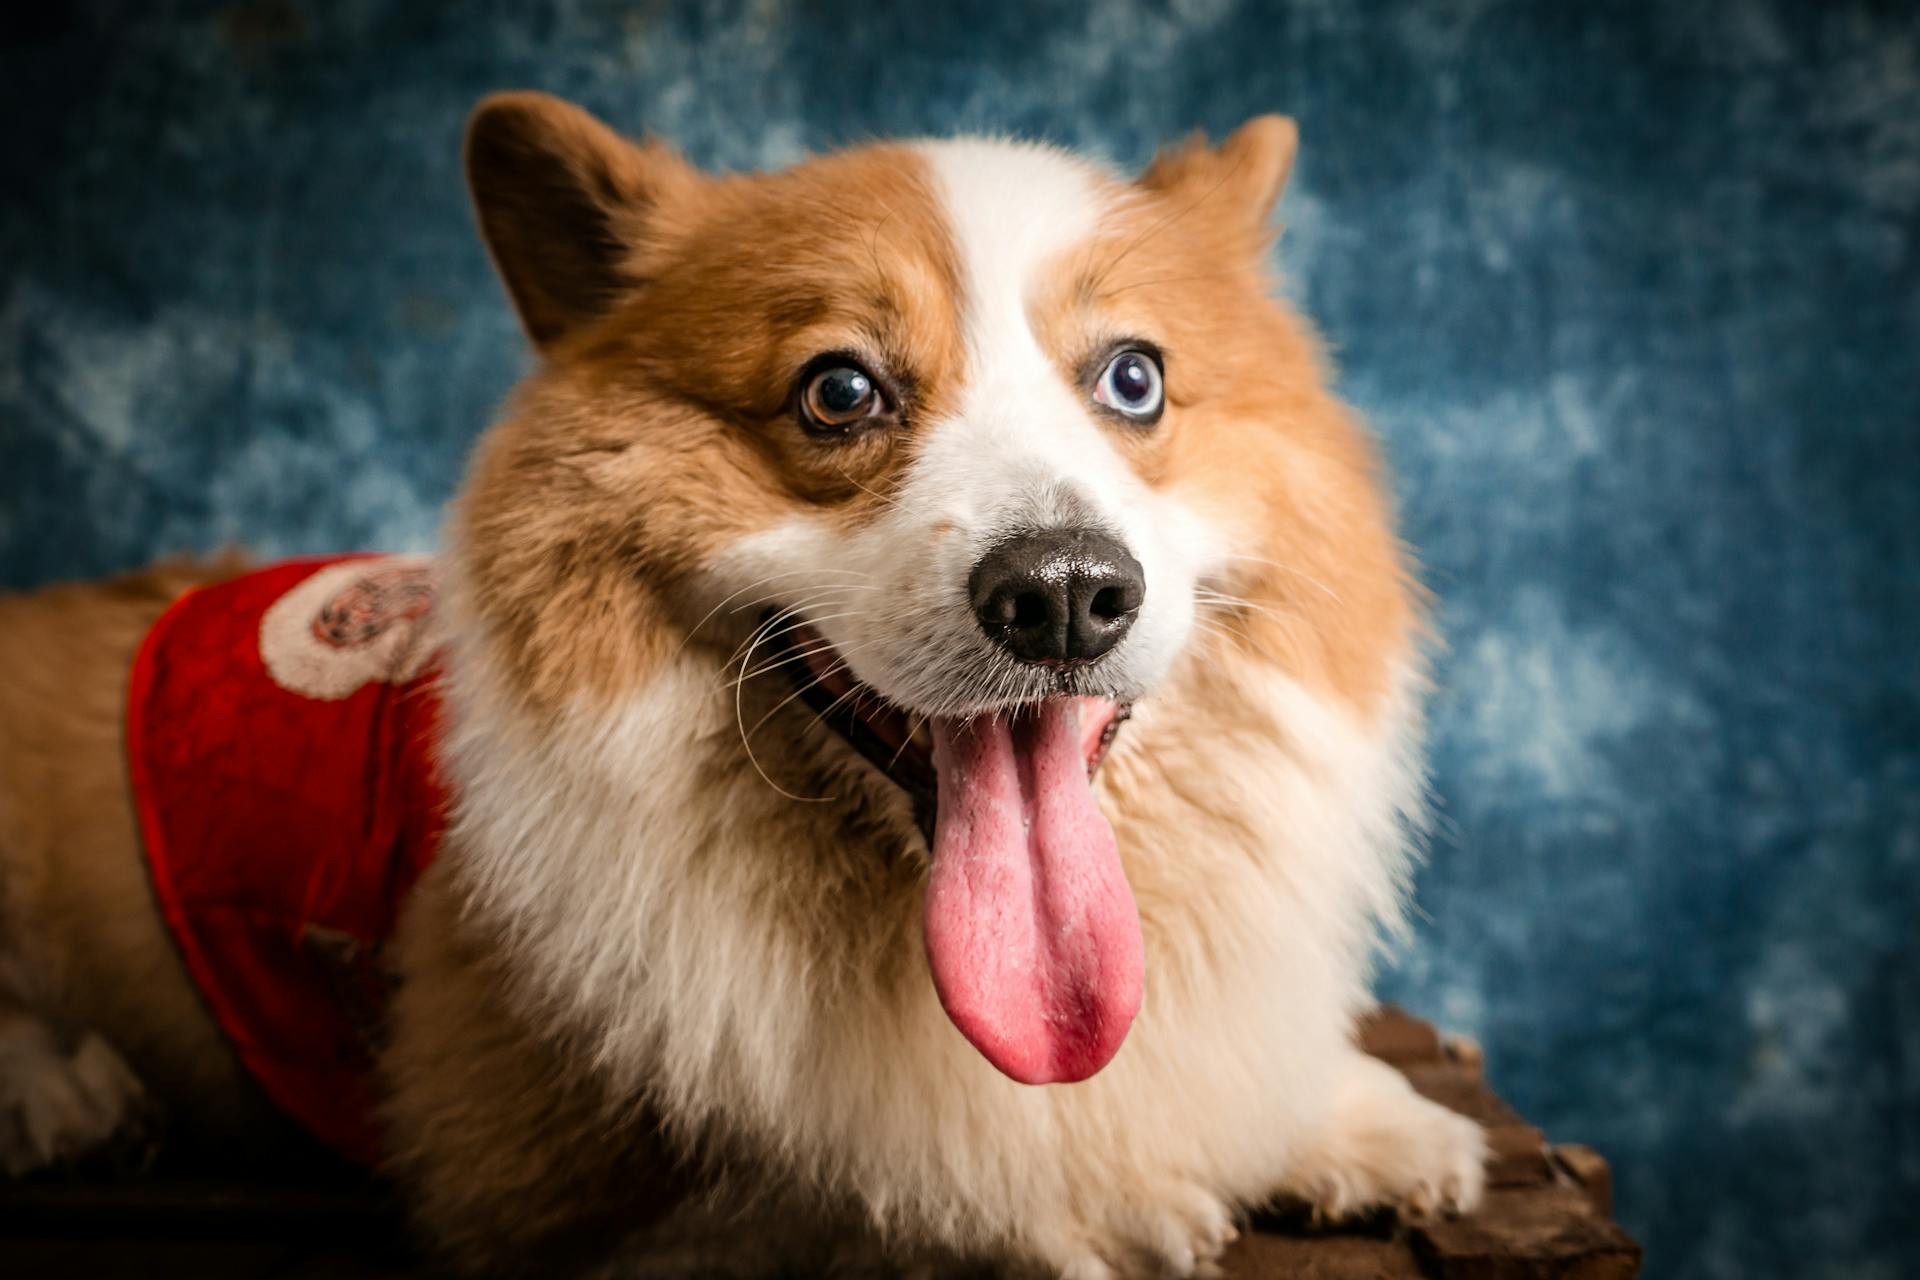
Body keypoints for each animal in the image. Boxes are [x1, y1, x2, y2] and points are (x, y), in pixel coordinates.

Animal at [0, 94, 1482, 1274]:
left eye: (1134, 379)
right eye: (839, 391)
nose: (1064, 591)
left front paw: (1354, 1117)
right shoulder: (522, 1173)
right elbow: (856, 1188)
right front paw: (1080, 1202)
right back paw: (60, 1093)